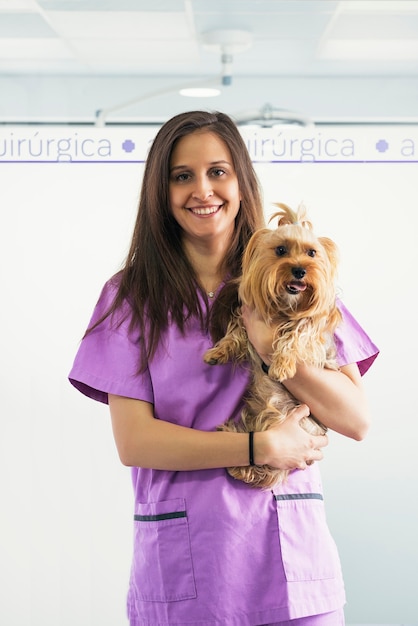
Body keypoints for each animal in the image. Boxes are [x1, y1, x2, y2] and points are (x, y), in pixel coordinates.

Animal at [204, 204, 342, 488]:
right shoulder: (247, 317)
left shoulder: (313, 331)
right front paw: (218, 352)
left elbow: (296, 334)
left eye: (312, 253)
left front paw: (281, 365)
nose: (299, 270)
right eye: (280, 250)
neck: (285, 307)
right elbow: (236, 332)